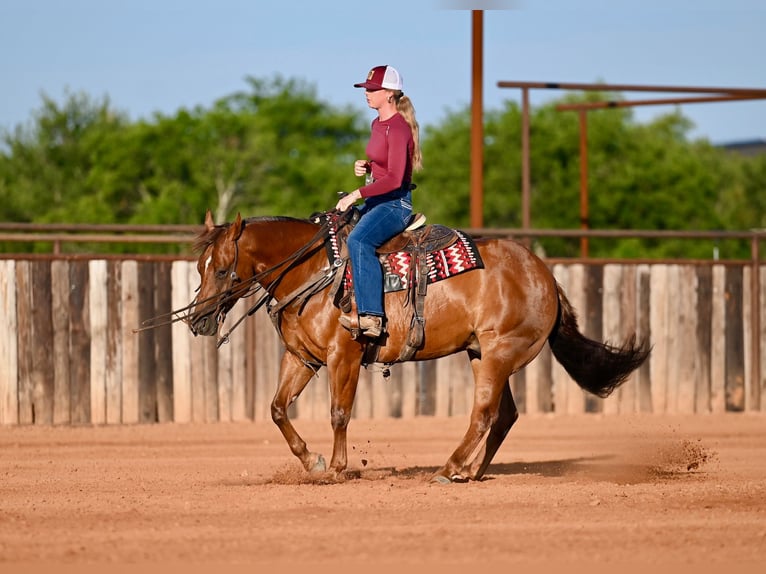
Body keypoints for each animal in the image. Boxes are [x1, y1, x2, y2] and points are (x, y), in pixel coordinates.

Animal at [187, 209, 650, 483]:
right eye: (199, 267)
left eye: (224, 268)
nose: (197, 320)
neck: (316, 270)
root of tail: (545, 275)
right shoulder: (302, 358)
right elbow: (277, 409)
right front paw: (311, 461)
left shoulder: (344, 356)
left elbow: (339, 413)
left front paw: (336, 468)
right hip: (482, 354)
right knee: (503, 416)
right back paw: (472, 471)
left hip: (499, 354)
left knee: (484, 414)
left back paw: (449, 468)